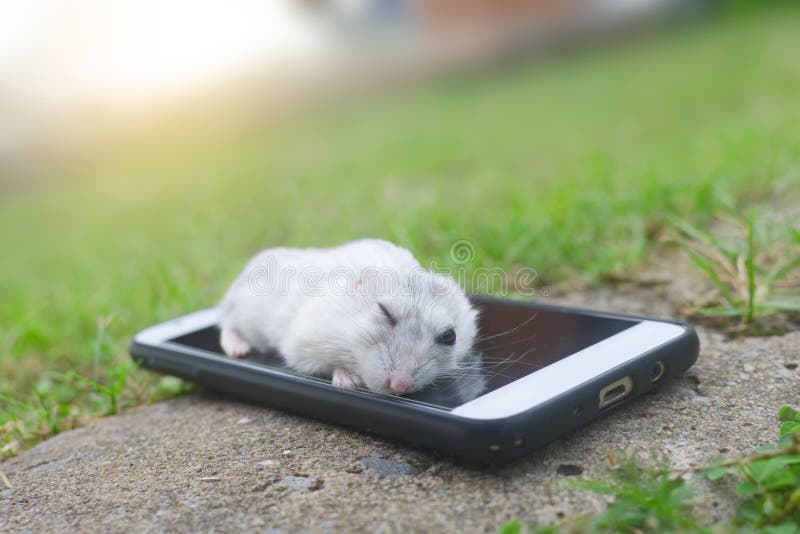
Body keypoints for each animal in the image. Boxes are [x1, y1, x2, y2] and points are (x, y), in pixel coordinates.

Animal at [218, 239, 483, 399]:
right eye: (384, 311)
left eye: (450, 336)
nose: (398, 387)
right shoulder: (302, 343)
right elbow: (329, 364)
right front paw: (349, 382)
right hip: (240, 311)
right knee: (227, 327)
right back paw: (239, 350)